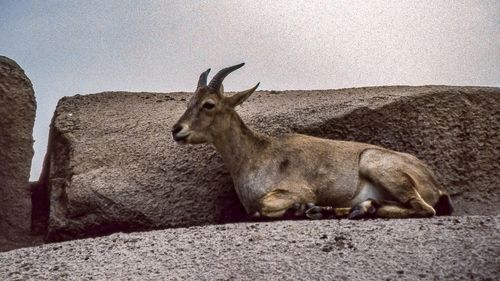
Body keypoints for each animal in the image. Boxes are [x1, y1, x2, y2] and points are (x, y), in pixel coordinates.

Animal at [172, 63, 454, 219]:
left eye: (209, 104)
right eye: (189, 102)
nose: (177, 130)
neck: (255, 155)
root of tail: (435, 184)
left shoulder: (300, 190)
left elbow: (262, 208)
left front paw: (302, 209)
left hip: (374, 163)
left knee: (424, 208)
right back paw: (349, 209)